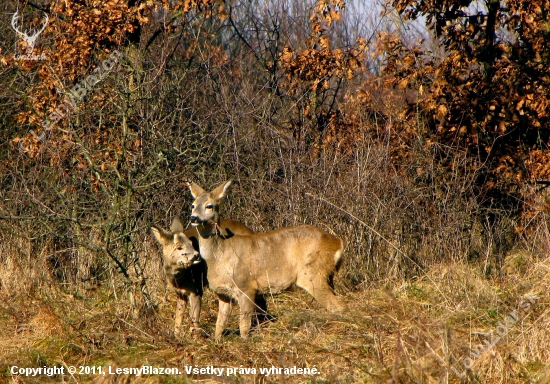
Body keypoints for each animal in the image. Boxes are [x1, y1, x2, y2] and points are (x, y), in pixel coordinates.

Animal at [190, 180, 344, 340]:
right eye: (193, 205)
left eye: (209, 205)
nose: (193, 218)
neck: (220, 256)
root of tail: (338, 243)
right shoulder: (223, 294)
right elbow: (219, 324)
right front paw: (217, 341)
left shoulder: (247, 286)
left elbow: (244, 326)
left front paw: (245, 342)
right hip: (327, 276)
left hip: (313, 274)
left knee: (338, 305)